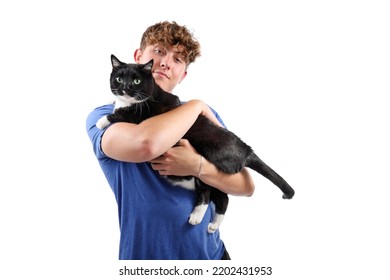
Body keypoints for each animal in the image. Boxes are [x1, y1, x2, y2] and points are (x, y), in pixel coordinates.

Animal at [97, 54, 296, 232]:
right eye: (119, 79)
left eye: (137, 81)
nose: (125, 88)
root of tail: (246, 149)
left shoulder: (144, 115)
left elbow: (123, 114)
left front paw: (102, 120)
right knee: (222, 197)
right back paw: (213, 225)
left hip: (209, 159)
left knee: (207, 191)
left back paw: (196, 216)